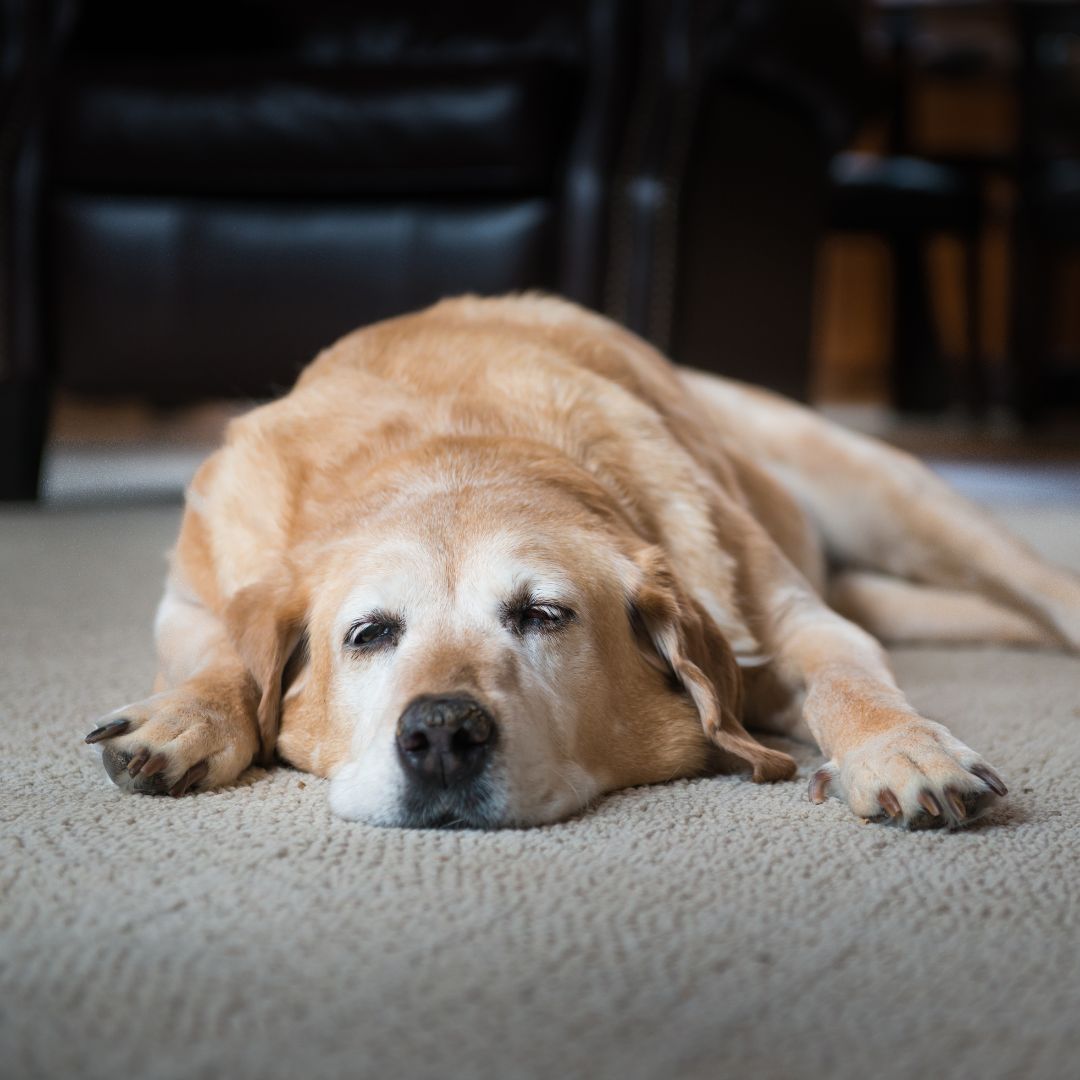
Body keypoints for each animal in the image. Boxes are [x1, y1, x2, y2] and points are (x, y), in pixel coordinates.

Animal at [84, 293, 1080, 825]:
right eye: (367, 635)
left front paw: (901, 750)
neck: (459, 446)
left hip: (893, 495)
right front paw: (189, 717)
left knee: (1041, 585)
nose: (440, 734)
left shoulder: (802, 623)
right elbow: (224, 652)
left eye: (541, 615)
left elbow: (850, 682)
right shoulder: (189, 597)